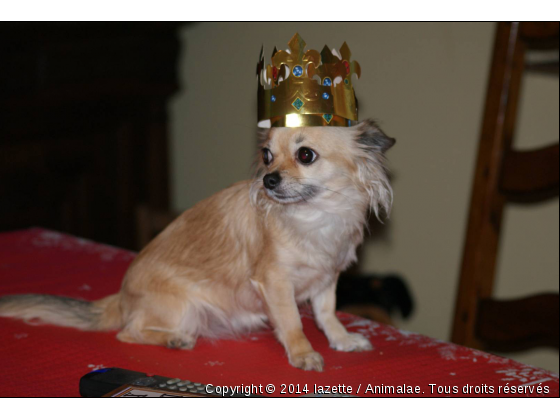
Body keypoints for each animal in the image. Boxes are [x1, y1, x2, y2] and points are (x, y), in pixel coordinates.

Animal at [0, 120, 394, 372]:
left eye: (306, 155)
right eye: (267, 155)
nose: (268, 180)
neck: (316, 215)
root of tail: (122, 298)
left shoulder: (327, 278)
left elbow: (327, 313)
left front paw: (342, 339)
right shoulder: (275, 283)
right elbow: (293, 321)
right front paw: (302, 354)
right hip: (183, 308)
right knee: (129, 332)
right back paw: (174, 339)